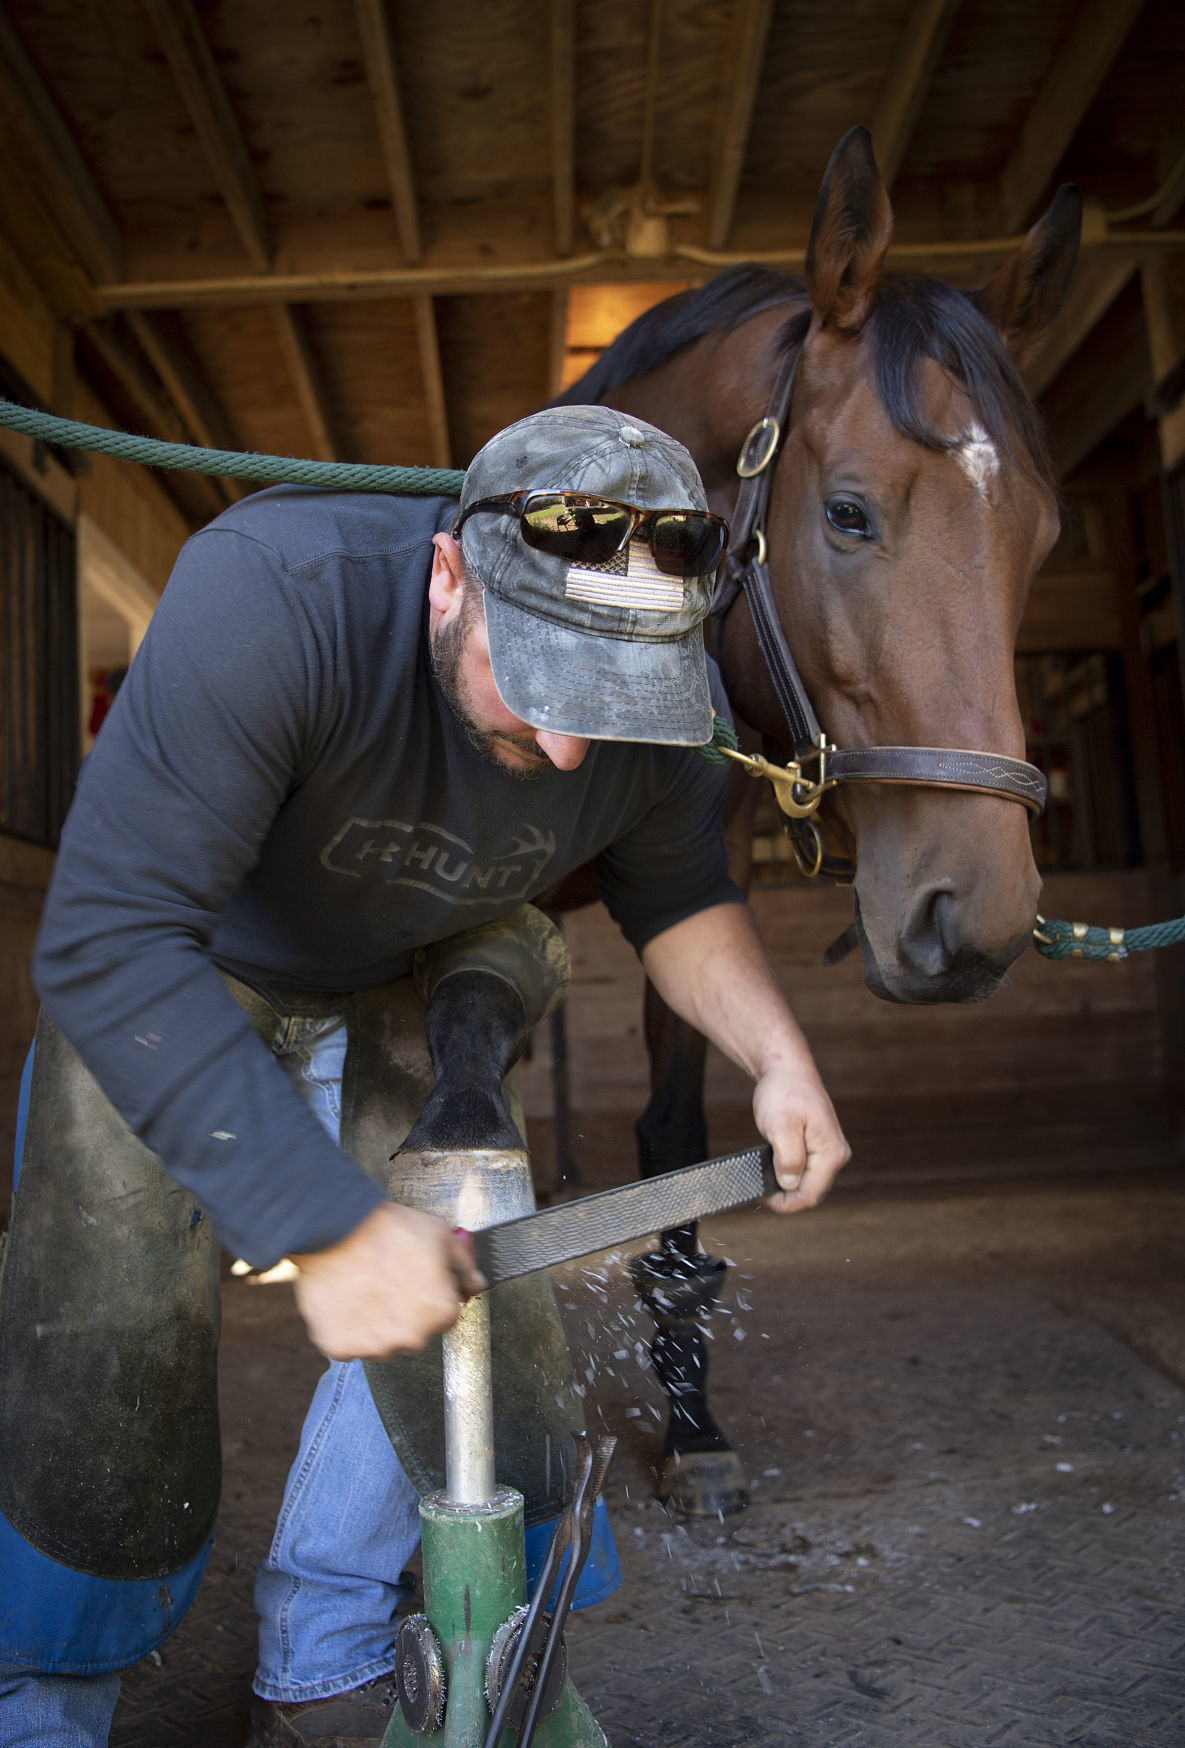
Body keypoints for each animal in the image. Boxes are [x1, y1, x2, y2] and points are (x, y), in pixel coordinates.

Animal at [546, 125, 1081, 1515]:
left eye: (1043, 540)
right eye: (847, 511)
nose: (975, 924)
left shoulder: (689, 878)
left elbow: (676, 1132)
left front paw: (691, 1420)